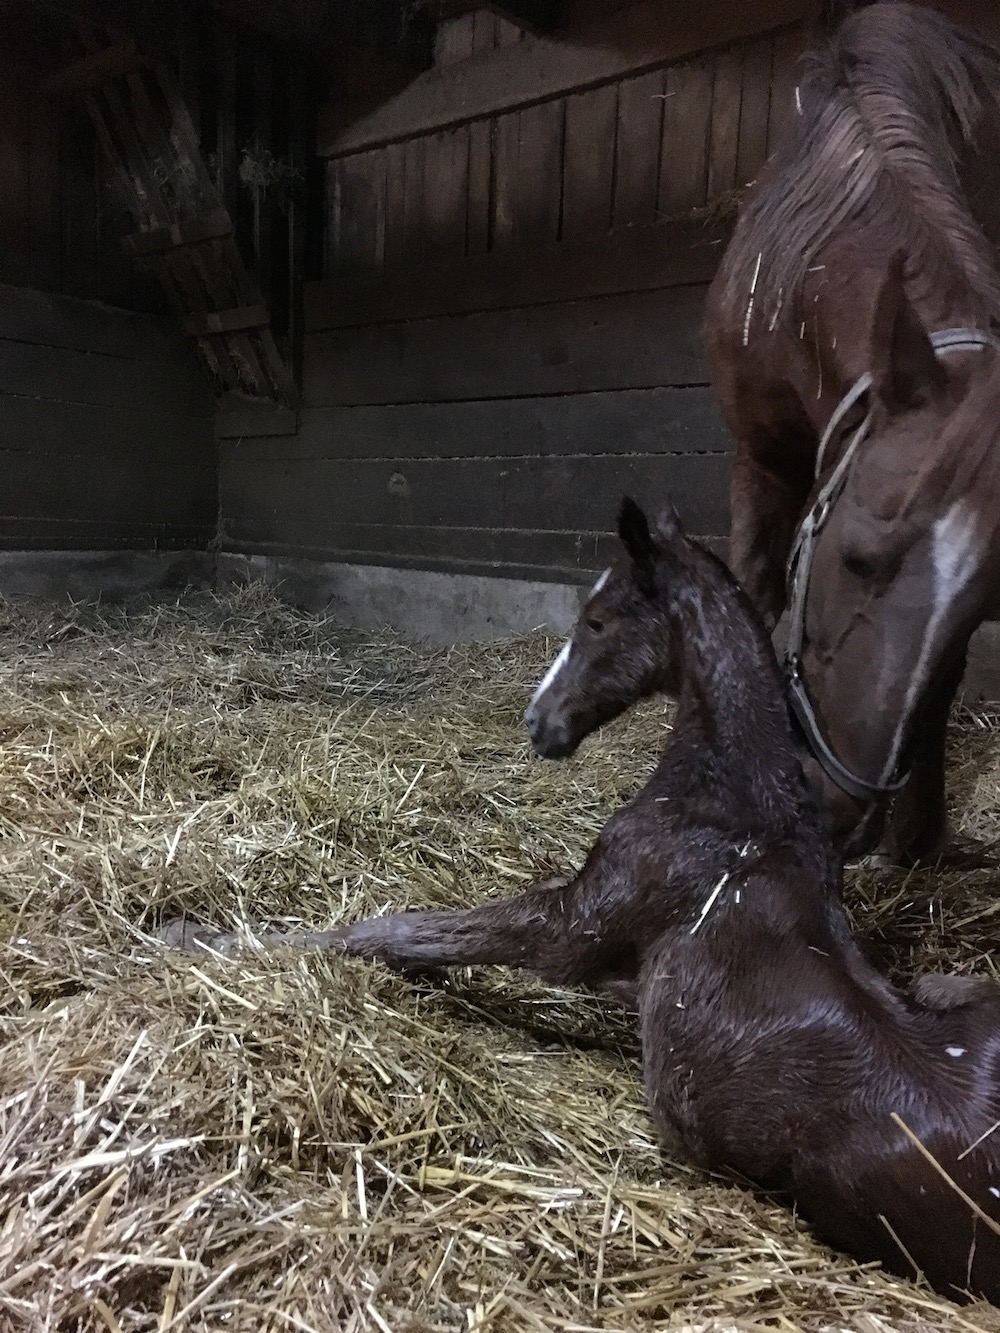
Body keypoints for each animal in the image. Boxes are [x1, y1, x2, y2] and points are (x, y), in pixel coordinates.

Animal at [166, 501, 1000, 1301]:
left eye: (596, 621)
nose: (540, 721)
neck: (738, 812)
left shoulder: (570, 927)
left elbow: (398, 928)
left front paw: (198, 937)